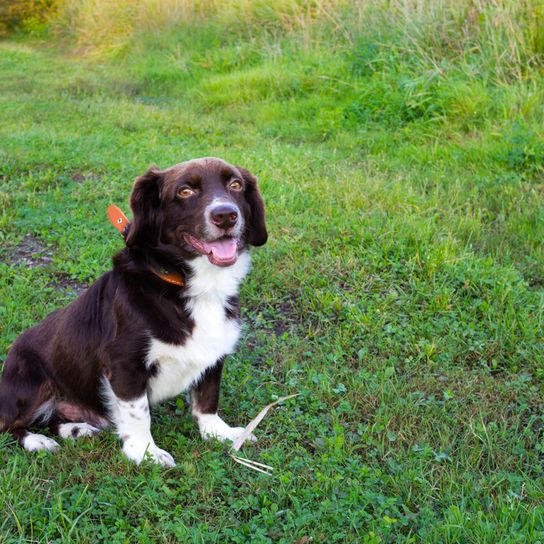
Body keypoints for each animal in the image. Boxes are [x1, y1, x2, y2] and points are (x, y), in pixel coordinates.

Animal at [0, 157, 268, 468]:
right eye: (185, 191)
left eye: (235, 185)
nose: (226, 215)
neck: (192, 286)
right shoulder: (125, 364)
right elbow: (138, 414)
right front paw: (145, 452)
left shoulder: (214, 353)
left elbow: (208, 398)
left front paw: (220, 433)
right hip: (30, 380)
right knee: (9, 424)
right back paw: (37, 441)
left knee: (53, 419)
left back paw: (76, 429)